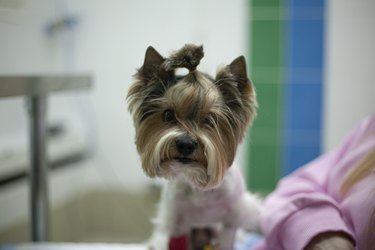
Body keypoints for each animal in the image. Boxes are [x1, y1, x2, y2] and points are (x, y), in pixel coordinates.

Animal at [128, 45, 262, 250]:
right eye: (168, 115)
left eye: (210, 120)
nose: (185, 144)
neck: (197, 183)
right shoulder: (176, 220)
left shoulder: (231, 219)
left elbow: (227, 240)